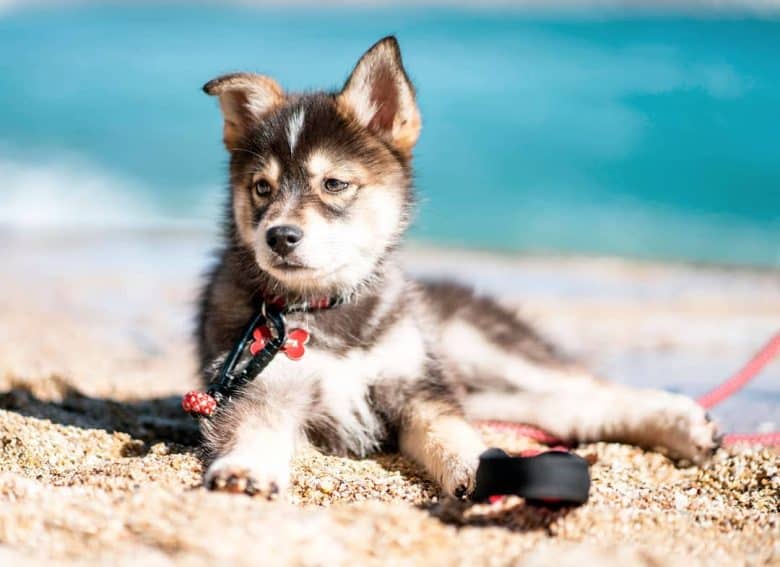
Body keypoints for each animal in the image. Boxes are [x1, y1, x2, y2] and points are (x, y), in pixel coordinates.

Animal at [197, 36, 720, 496]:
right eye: (262, 188)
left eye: (334, 184)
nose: (279, 236)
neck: (327, 308)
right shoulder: (258, 387)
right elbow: (253, 429)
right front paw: (244, 469)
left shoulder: (418, 387)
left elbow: (450, 433)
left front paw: (476, 466)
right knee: (567, 407)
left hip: (482, 349)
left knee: (587, 387)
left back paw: (680, 421)